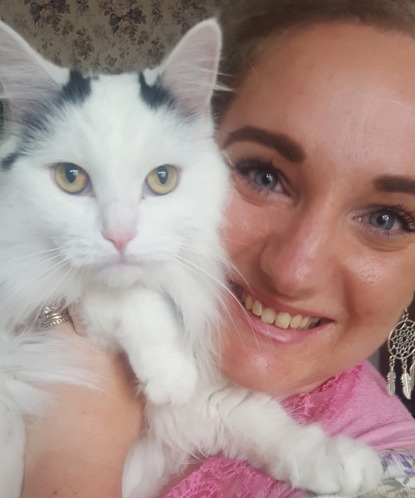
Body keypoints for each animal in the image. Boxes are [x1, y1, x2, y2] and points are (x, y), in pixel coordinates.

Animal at [0, 17, 384, 496]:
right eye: (71, 178)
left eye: (162, 179)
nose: (120, 235)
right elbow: (125, 297)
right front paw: (170, 373)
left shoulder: (206, 406)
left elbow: (263, 422)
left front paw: (345, 463)